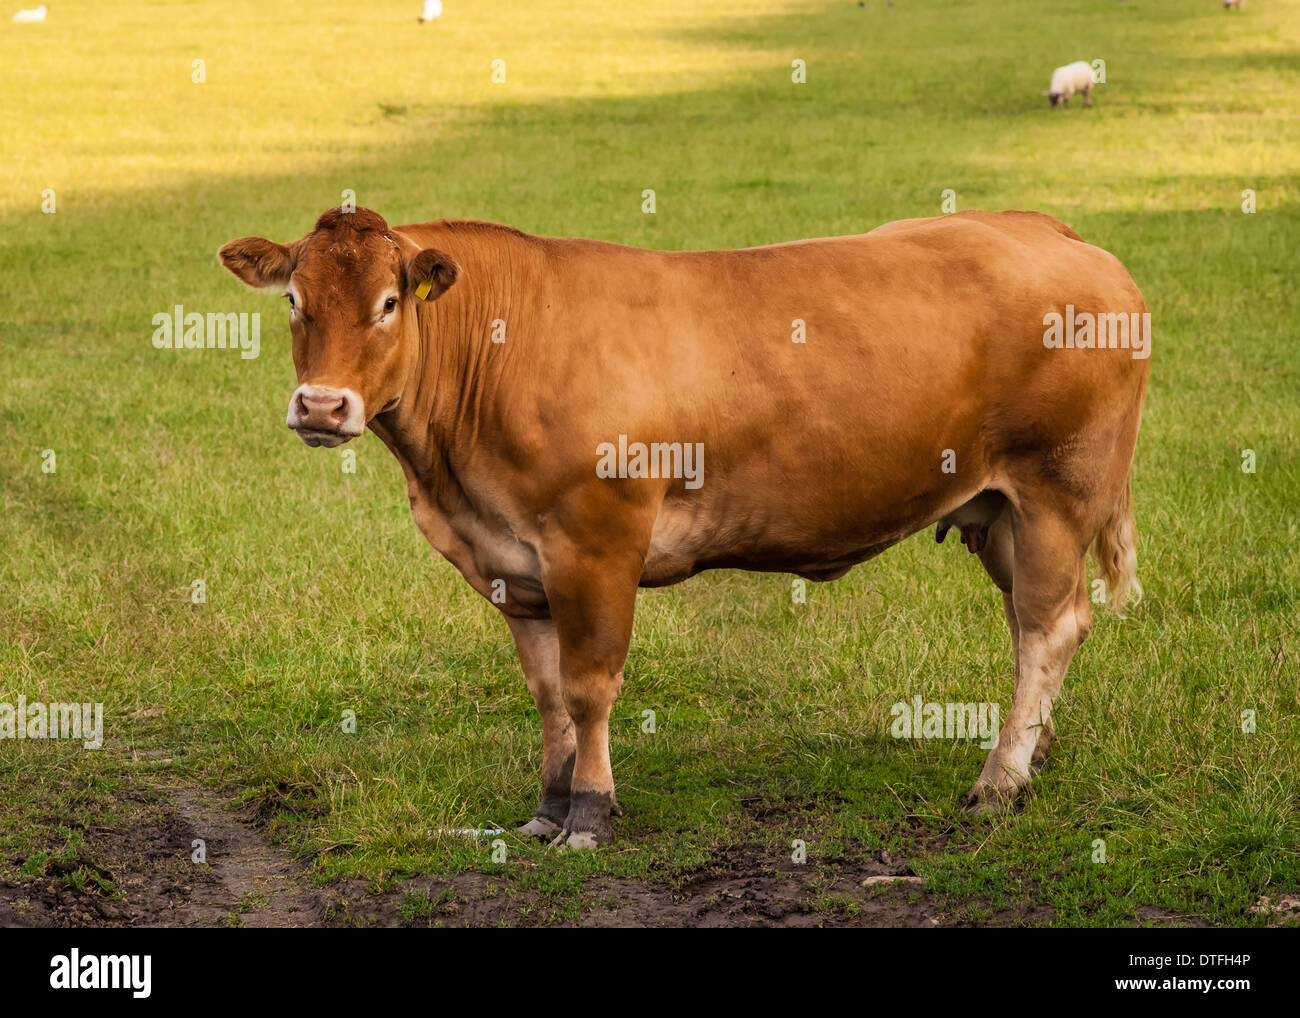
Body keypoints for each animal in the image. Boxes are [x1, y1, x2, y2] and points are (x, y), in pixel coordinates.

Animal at [220, 202, 1149, 847]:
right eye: (295, 299)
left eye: (387, 304)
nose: (322, 406)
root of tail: (1048, 229)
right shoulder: (516, 567)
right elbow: (547, 693)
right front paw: (546, 807)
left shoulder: (596, 541)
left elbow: (590, 687)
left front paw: (590, 813)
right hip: (999, 513)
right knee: (1029, 627)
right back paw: (1033, 754)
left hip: (1059, 491)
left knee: (1053, 626)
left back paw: (999, 780)